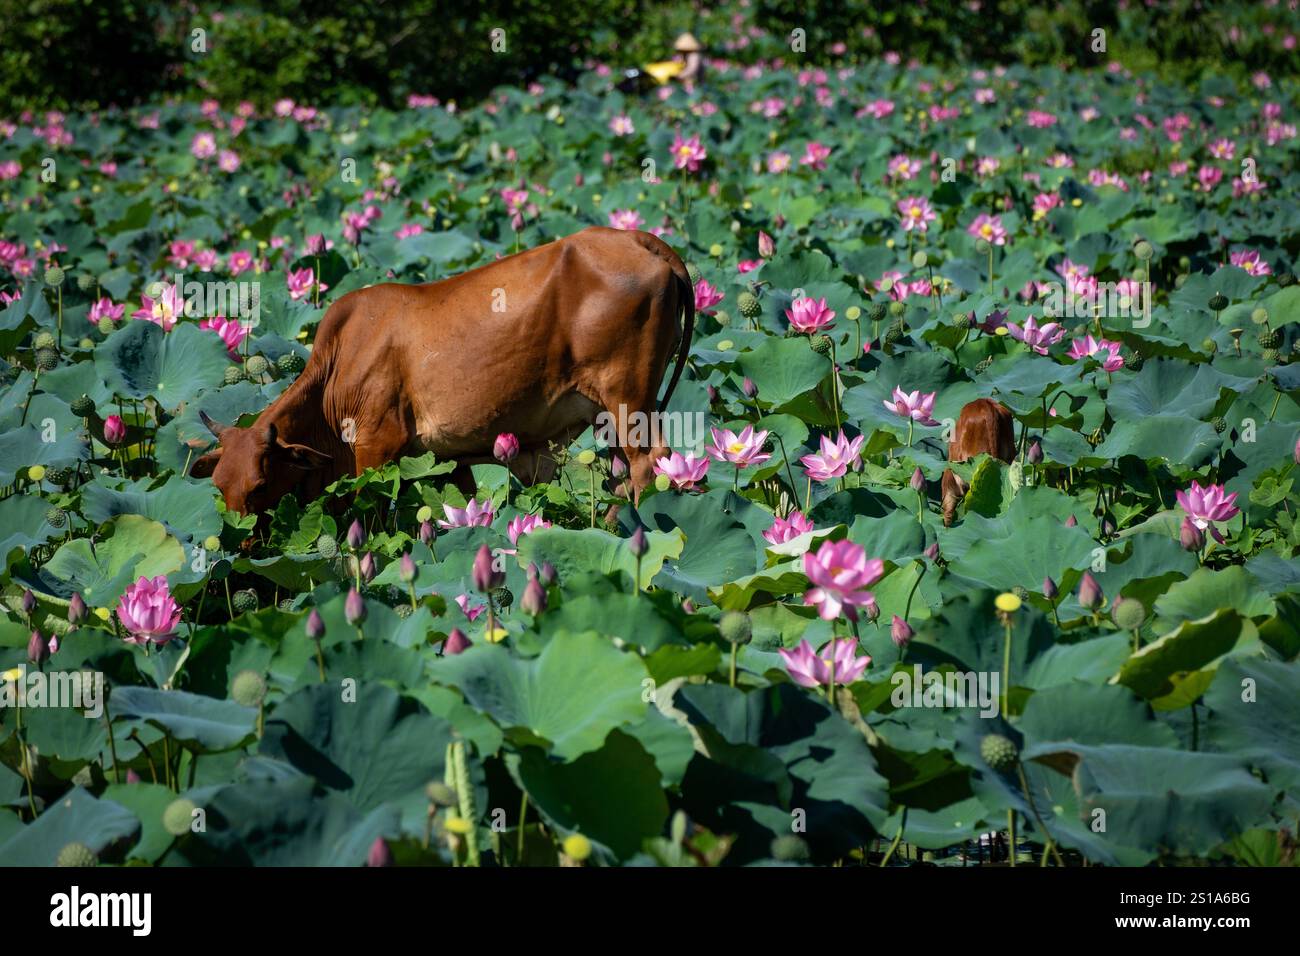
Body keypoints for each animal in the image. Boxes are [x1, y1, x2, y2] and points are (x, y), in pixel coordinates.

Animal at [189, 227, 696, 515]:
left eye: (258, 487)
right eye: (219, 488)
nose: (240, 543)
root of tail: (644, 240)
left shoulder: (376, 446)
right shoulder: (444, 461)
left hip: (629, 399)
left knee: (647, 466)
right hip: (609, 411)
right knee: (621, 477)